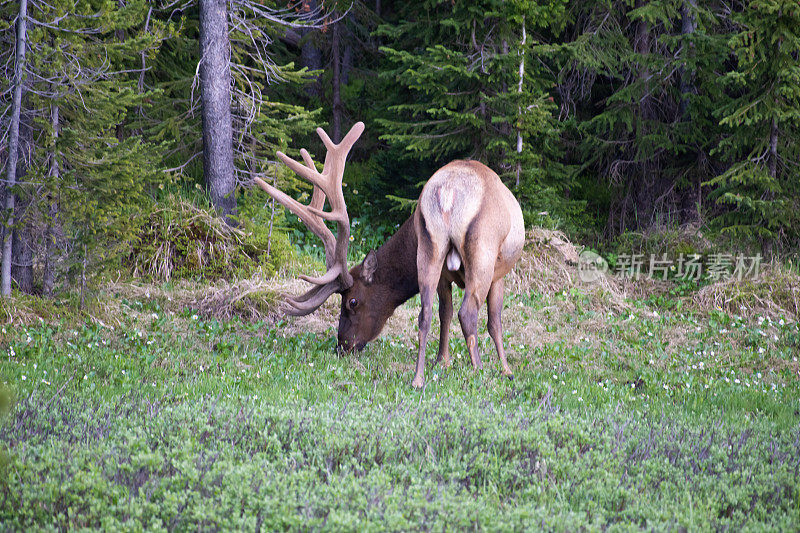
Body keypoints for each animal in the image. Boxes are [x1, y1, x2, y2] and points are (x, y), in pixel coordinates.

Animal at [256, 121, 524, 386]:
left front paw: (442, 361)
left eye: (352, 301)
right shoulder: (499, 273)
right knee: (467, 312)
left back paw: (418, 378)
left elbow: (444, 313)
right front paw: (506, 369)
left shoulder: (445, 277)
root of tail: (447, 194)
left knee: (426, 313)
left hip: (431, 248)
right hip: (482, 252)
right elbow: (494, 321)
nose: (342, 346)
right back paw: (478, 371)